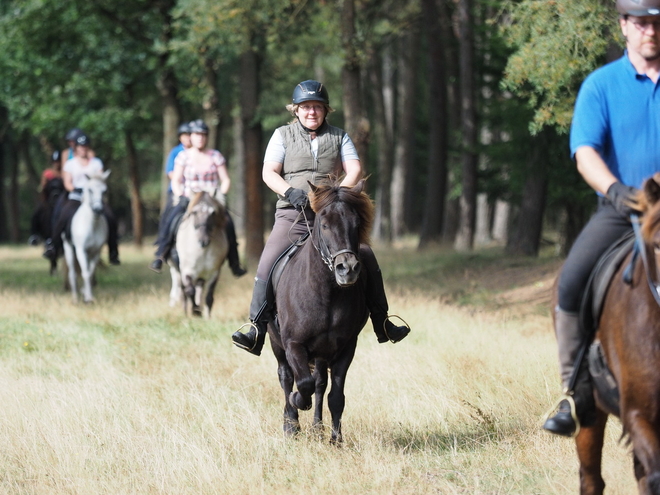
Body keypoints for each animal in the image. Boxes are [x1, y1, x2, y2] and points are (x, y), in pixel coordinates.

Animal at [62, 170, 109, 304]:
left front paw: (87, 294)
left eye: (105, 191)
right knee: (72, 273)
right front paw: (87, 298)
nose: (98, 210)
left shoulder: (96, 252)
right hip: (68, 248)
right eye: (90, 190)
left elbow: (90, 272)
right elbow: (85, 273)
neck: (92, 225)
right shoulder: (81, 251)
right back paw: (75, 298)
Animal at [168, 190, 229, 318]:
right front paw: (195, 312)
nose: (203, 241)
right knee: (183, 291)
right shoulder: (186, 271)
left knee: (199, 289)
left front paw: (206, 316)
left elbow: (209, 296)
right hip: (176, 270)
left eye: (213, 213)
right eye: (194, 212)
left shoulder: (214, 273)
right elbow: (189, 291)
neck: (202, 251)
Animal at [266, 180, 372, 444]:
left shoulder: (346, 347)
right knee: (286, 377)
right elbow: (302, 383)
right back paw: (291, 424)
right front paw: (296, 404)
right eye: (324, 225)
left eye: (357, 224)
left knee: (320, 384)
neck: (326, 293)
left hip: (323, 353)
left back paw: (317, 428)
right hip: (276, 343)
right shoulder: (293, 344)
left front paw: (336, 440)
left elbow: (335, 396)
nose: (348, 269)